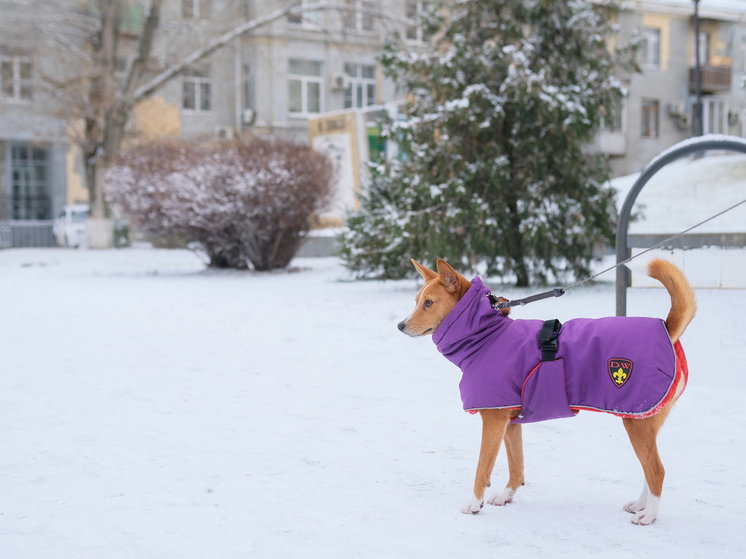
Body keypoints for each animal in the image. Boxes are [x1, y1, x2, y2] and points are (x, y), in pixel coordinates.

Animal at [398, 258, 696, 524]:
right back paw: (641, 505)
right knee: (649, 469)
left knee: (656, 471)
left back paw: (650, 515)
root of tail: (665, 328)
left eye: (428, 303)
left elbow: (482, 467)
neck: (486, 336)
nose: (400, 325)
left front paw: (474, 503)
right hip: (641, 420)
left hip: (636, 422)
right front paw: (506, 495)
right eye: (416, 301)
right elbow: (516, 467)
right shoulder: (510, 423)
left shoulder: (493, 421)